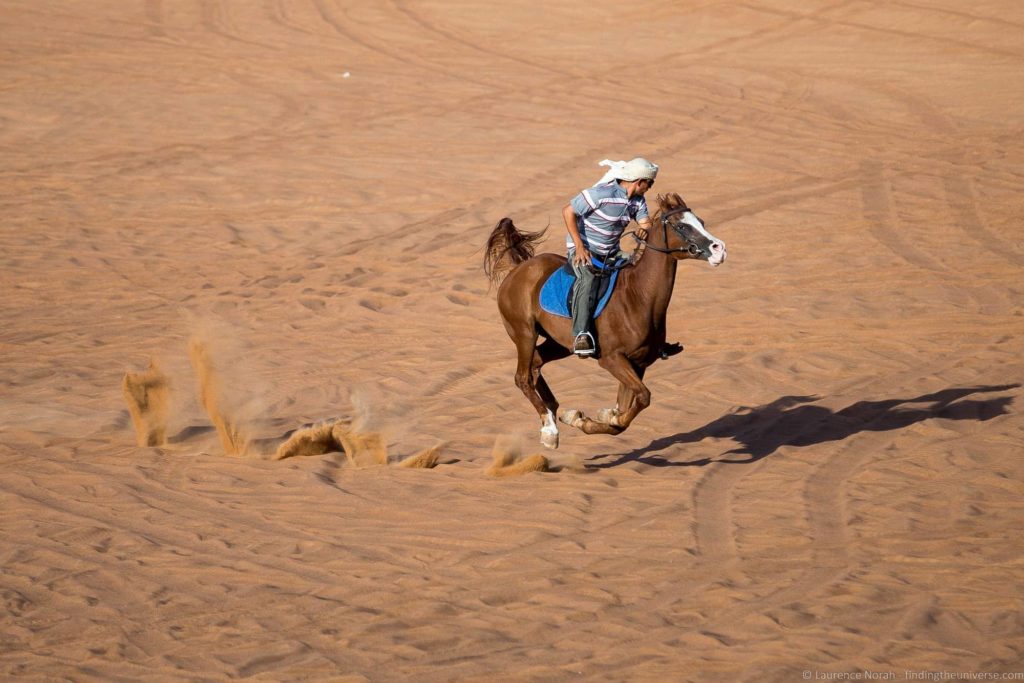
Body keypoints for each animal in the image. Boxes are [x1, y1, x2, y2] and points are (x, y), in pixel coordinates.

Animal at [483, 193, 727, 449]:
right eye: (681, 226)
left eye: (701, 221)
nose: (719, 249)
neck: (638, 297)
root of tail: (517, 269)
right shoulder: (612, 360)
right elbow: (642, 399)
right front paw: (584, 418)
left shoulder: (639, 364)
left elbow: (623, 414)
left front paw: (588, 416)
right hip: (524, 334)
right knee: (522, 378)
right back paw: (549, 429)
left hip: (560, 344)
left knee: (536, 365)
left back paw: (552, 410)